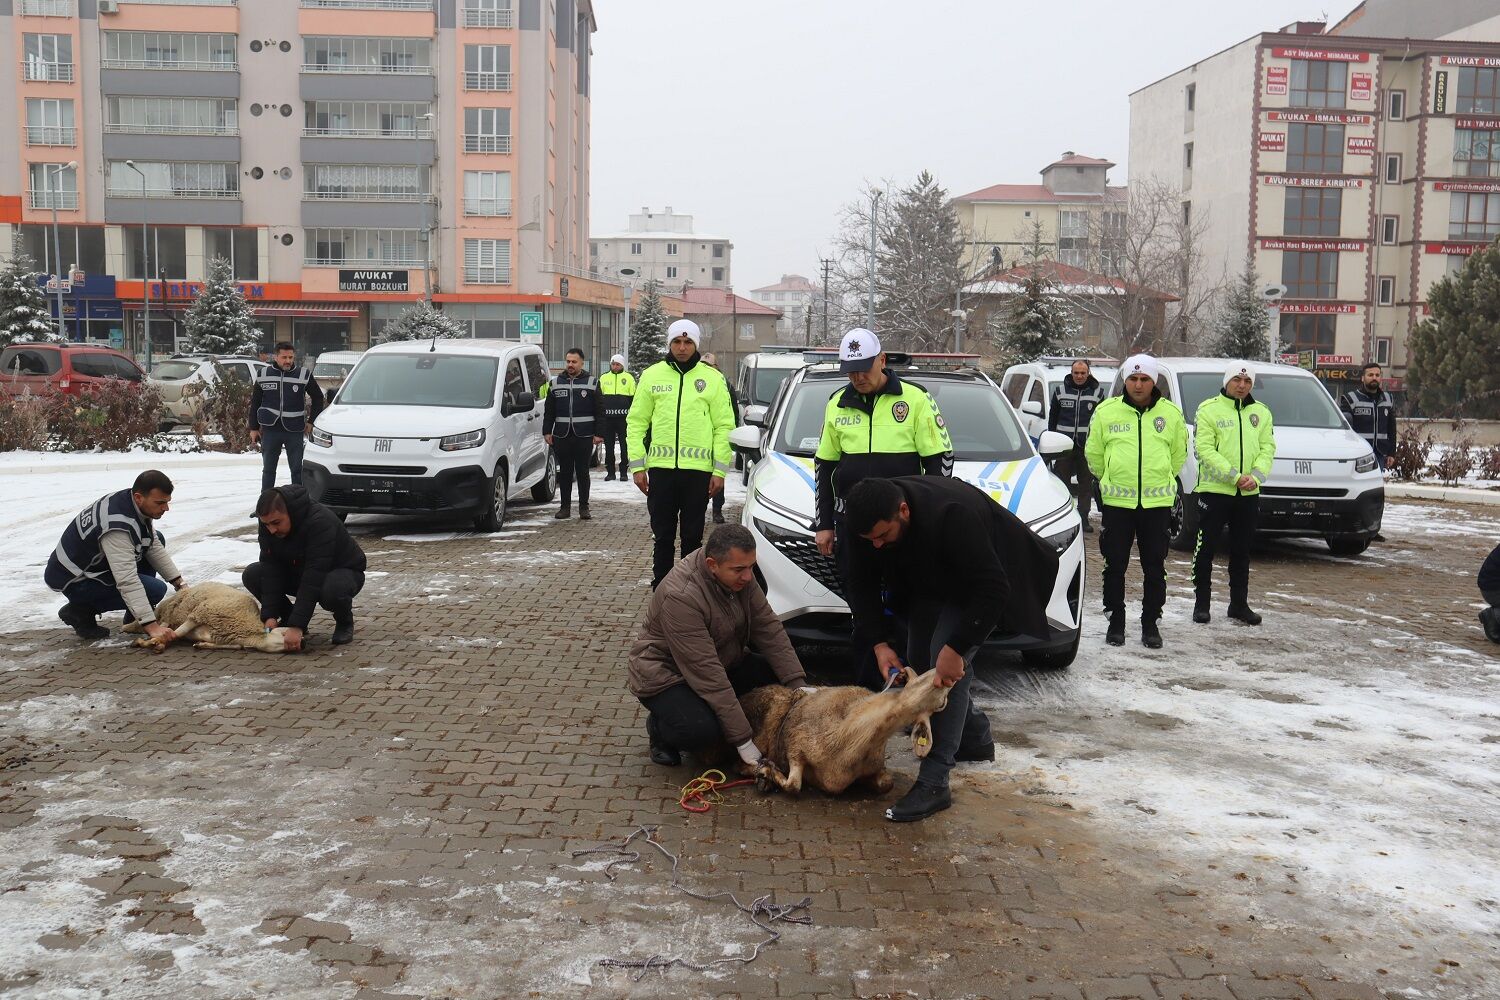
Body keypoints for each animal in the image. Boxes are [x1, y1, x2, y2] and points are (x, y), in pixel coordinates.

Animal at [122, 581, 292, 653]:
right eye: (284, 635)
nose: (298, 645)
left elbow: (236, 646)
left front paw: (201, 645)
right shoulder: (200, 613)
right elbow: (175, 634)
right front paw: (152, 642)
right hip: (169, 610)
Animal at [738, 668, 948, 803]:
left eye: (940, 704)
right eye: (913, 680)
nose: (946, 676)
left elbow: (887, 784)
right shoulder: (795, 746)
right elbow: (794, 785)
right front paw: (767, 772)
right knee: (741, 764)